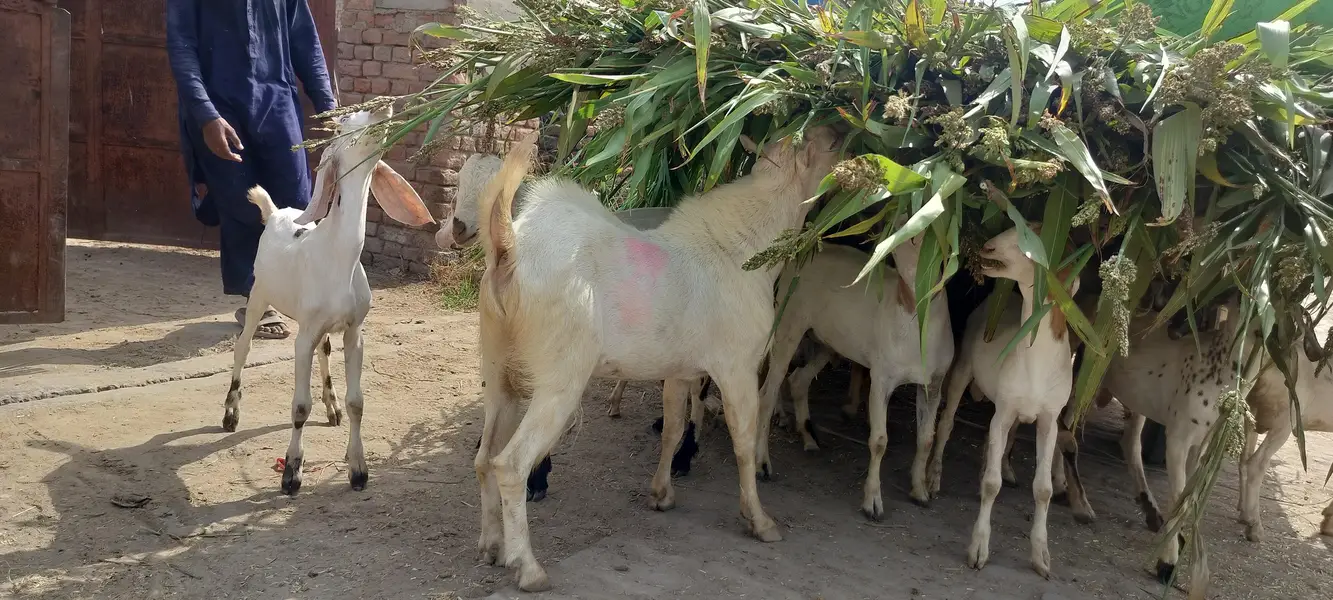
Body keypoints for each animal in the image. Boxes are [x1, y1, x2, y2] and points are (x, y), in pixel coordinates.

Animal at [225, 107, 434, 495]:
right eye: (344, 123)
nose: (382, 109)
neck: (338, 255)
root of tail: (275, 211)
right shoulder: (302, 335)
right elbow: (299, 407)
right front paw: (292, 473)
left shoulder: (355, 330)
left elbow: (358, 402)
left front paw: (358, 469)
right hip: (261, 292)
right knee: (243, 346)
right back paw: (230, 413)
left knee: (325, 349)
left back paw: (331, 406)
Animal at [472, 127, 841, 591]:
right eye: (828, 146)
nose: (846, 142)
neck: (739, 250)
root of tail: (509, 249)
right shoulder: (737, 368)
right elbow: (742, 441)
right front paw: (760, 521)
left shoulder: (680, 372)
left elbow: (673, 429)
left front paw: (662, 494)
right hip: (559, 381)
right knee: (510, 464)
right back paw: (528, 567)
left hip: (498, 373)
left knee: (484, 458)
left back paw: (491, 547)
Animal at [757, 238, 953, 516]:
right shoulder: (882, 377)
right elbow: (879, 441)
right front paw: (873, 503)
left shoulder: (934, 382)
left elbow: (926, 439)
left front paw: (920, 492)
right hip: (789, 322)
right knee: (767, 392)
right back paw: (763, 465)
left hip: (828, 340)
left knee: (799, 380)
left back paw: (809, 439)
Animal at [931, 223, 1077, 578]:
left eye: (1029, 243)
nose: (987, 247)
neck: (1035, 364)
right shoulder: (1005, 410)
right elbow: (992, 484)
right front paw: (978, 550)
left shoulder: (1048, 419)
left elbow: (1043, 489)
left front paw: (1041, 558)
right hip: (962, 369)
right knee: (946, 423)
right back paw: (934, 479)